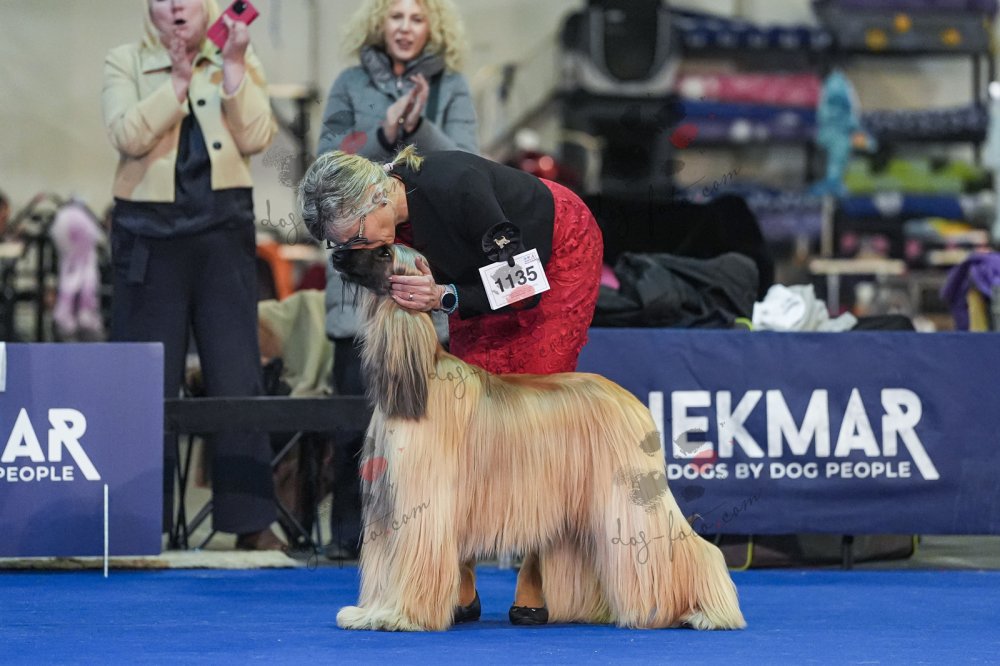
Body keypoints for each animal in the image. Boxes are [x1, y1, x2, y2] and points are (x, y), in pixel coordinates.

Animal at [331, 244, 746, 631]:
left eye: (384, 252)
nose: (336, 255)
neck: (422, 376)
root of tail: (632, 401)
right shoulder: (386, 504)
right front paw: (370, 612)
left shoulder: (421, 502)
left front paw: (400, 615)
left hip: (628, 495)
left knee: (687, 546)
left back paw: (706, 611)